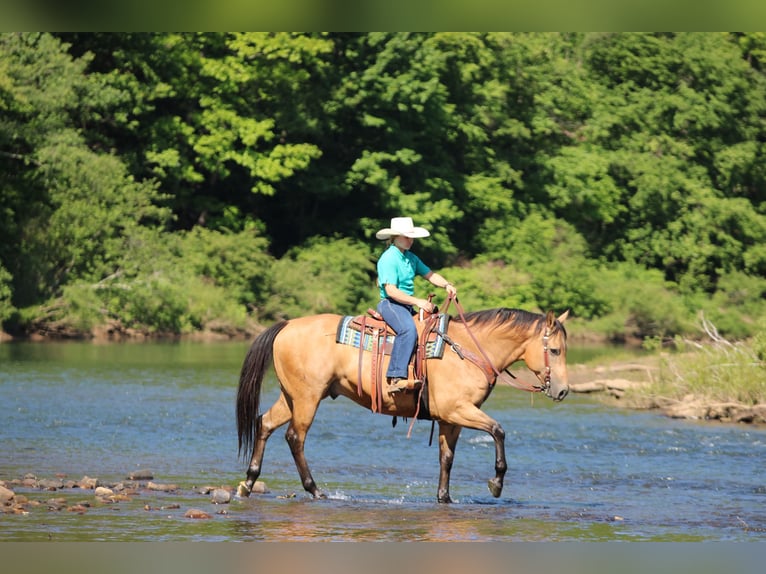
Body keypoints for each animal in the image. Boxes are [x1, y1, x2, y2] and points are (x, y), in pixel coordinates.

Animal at [236, 305, 569, 503]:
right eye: (554, 350)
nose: (564, 390)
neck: (467, 351)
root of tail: (287, 325)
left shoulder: (450, 419)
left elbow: (447, 458)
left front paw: (444, 498)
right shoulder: (458, 410)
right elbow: (498, 431)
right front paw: (496, 482)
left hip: (291, 396)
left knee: (264, 424)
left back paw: (249, 482)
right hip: (307, 397)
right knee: (295, 437)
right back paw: (314, 489)